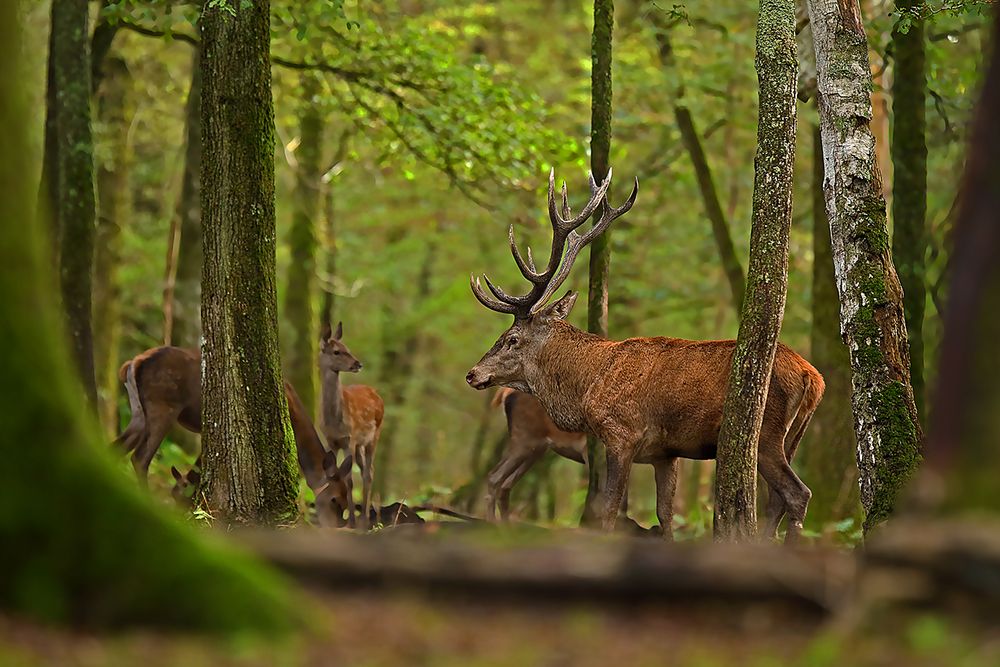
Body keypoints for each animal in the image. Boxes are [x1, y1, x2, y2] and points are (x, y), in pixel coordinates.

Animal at [114, 348, 356, 528]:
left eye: (347, 502)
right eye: (335, 500)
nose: (336, 528)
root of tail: (134, 362)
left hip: (139, 414)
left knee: (117, 447)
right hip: (163, 406)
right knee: (140, 458)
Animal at [318, 322, 384, 532]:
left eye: (347, 347)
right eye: (337, 351)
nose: (358, 364)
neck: (334, 421)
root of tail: (375, 392)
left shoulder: (349, 439)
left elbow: (348, 480)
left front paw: (351, 522)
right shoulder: (331, 441)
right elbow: (331, 473)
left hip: (374, 435)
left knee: (369, 472)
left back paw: (364, 519)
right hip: (359, 444)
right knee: (366, 470)